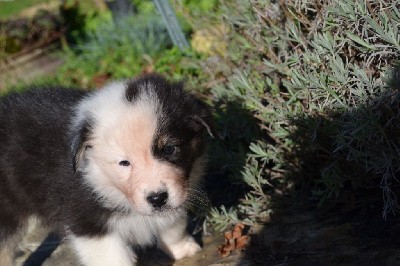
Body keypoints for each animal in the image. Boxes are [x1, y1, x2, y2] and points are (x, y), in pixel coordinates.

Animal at [0, 74, 214, 264]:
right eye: (124, 163)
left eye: (169, 149)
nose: (157, 199)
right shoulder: (88, 222)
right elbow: (113, 258)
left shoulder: (180, 191)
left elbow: (173, 225)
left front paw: (182, 248)